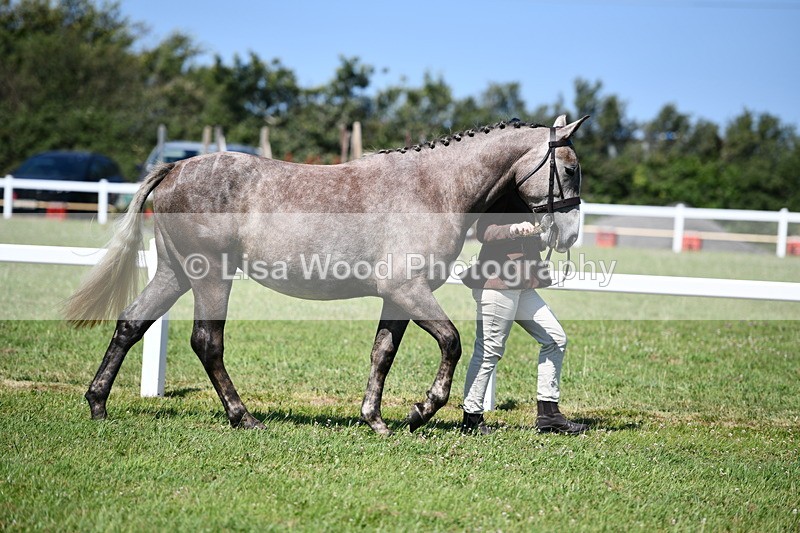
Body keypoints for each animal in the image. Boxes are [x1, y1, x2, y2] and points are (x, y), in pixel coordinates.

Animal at [65, 114, 589, 435]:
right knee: (206, 343)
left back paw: (98, 404)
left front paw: (375, 419)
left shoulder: (397, 298)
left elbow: (382, 354)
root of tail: (174, 168)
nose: (567, 235)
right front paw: (420, 411)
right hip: (210, 277)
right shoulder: (410, 290)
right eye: (569, 168)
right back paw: (243, 417)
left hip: (175, 274)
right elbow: (452, 343)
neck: (434, 189)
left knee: (131, 324)